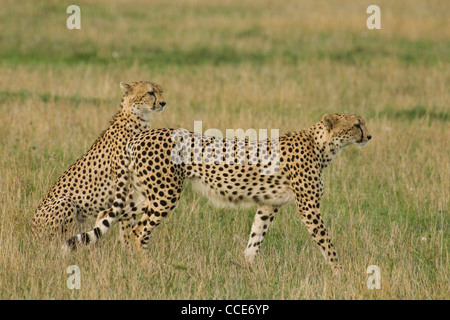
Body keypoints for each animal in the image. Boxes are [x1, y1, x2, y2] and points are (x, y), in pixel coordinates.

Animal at [33, 81, 167, 239]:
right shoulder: (124, 189)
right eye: (150, 93)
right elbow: (127, 225)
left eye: (161, 91)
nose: (163, 103)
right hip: (65, 202)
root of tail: (32, 228)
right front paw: (128, 245)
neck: (139, 119)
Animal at [65, 113, 370, 272]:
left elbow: (256, 237)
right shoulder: (308, 208)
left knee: (110, 215)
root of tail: (139, 136)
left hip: (146, 193)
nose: (368, 136)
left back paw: (117, 258)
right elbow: (326, 242)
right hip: (165, 194)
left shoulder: (268, 205)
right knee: (139, 230)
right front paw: (339, 272)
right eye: (356, 124)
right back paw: (149, 266)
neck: (323, 146)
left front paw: (247, 267)